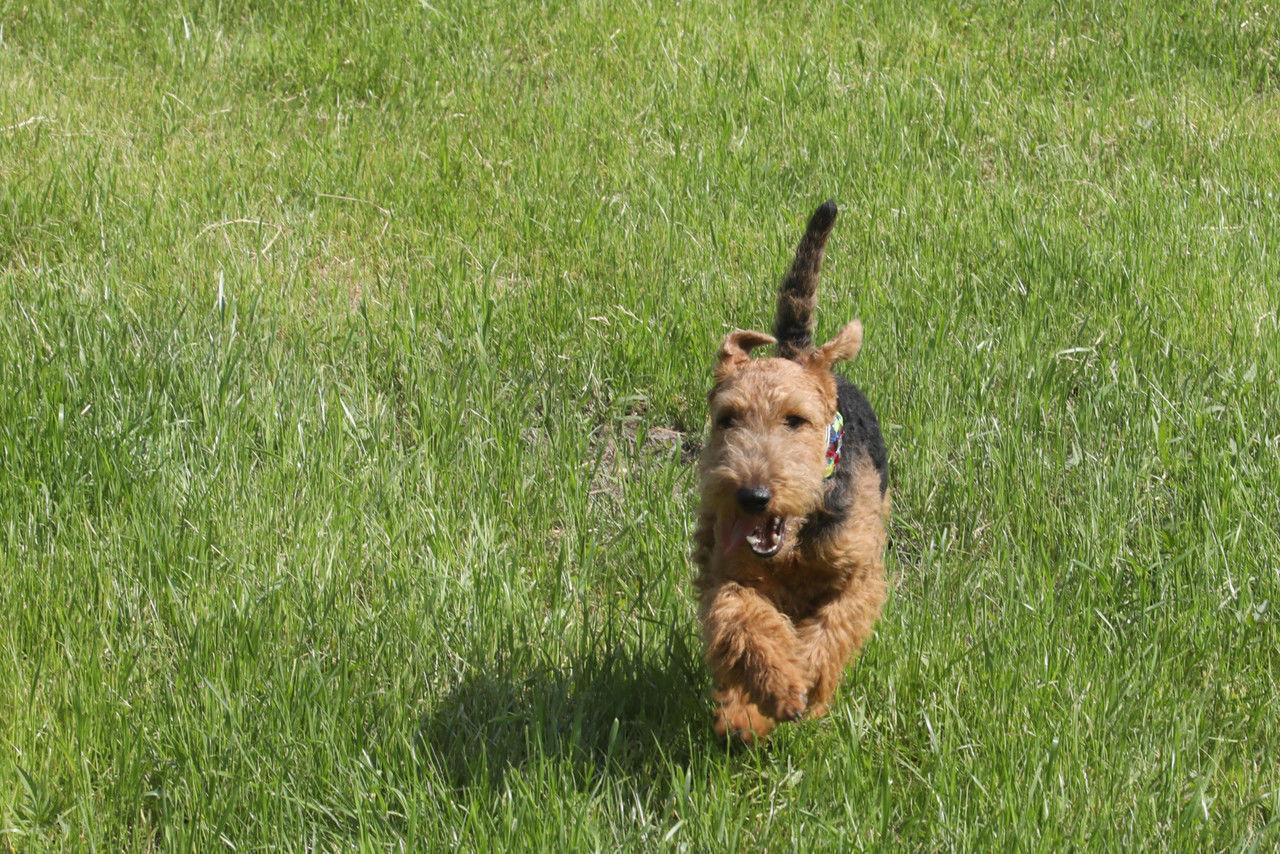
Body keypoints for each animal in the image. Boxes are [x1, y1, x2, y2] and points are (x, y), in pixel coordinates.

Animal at [692, 200, 889, 744]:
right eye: (728, 418)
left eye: (796, 420)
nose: (753, 497)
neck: (795, 541)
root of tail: (794, 350)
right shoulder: (728, 577)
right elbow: (745, 625)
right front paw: (773, 693)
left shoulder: (858, 578)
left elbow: (828, 634)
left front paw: (805, 686)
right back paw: (741, 714)